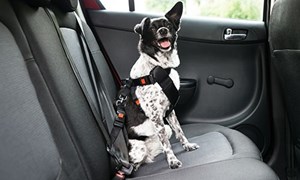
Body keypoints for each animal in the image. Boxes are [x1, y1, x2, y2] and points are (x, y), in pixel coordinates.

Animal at [123, 1, 198, 170]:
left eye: (168, 25)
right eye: (151, 28)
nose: (163, 30)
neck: (159, 68)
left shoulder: (170, 111)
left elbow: (180, 131)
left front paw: (187, 145)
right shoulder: (156, 116)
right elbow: (167, 144)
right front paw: (172, 160)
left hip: (166, 129)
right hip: (139, 148)